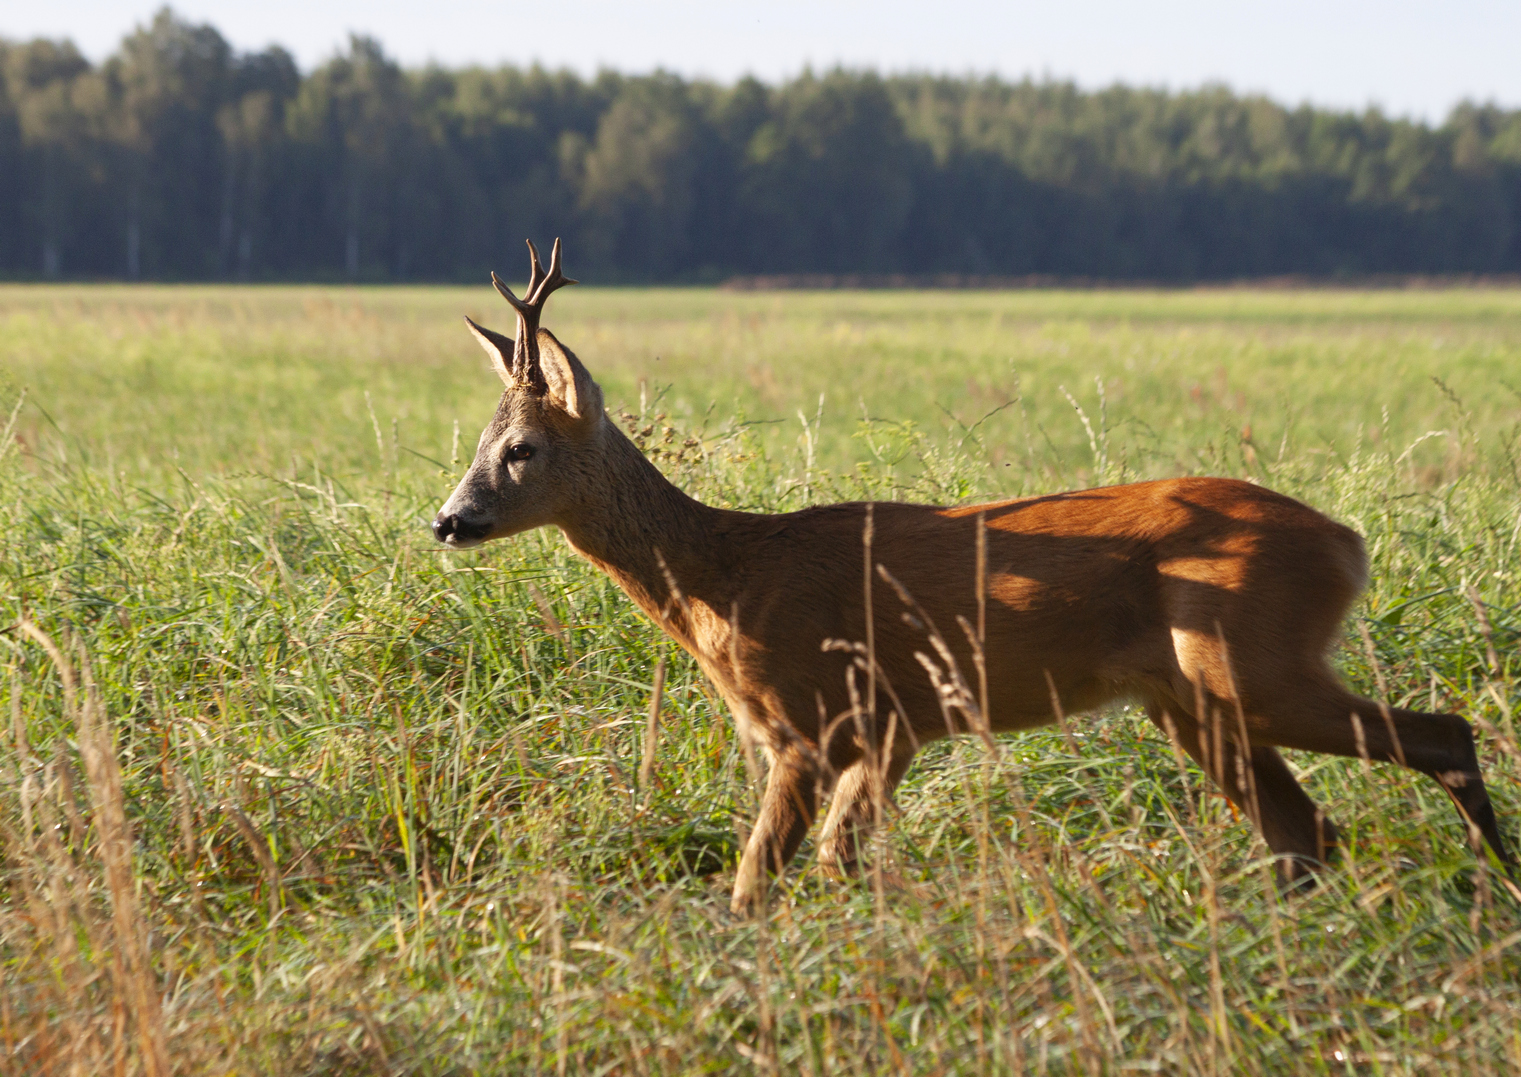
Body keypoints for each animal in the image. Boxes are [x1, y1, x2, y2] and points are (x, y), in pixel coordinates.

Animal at [435, 240, 1514, 912]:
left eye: (522, 449)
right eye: (477, 444)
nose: (449, 519)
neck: (727, 579)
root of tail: (1347, 541)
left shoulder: (815, 718)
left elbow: (755, 882)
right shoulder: (895, 724)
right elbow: (838, 863)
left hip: (1251, 660)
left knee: (1439, 737)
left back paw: (1491, 886)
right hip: (1192, 697)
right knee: (1306, 831)